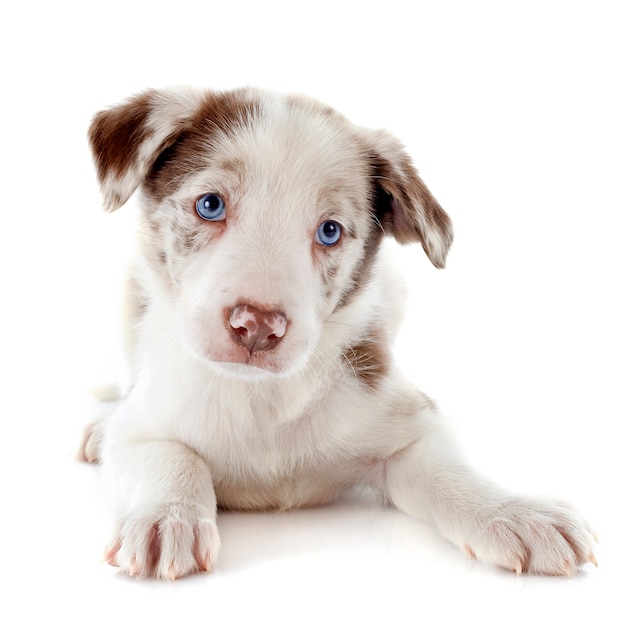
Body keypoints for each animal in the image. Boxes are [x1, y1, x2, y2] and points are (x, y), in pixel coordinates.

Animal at [78, 86, 596, 576]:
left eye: (329, 231)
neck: (263, 398)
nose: (257, 326)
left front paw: (513, 511)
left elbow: (449, 470)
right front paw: (166, 517)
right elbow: (170, 456)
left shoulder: (407, 421)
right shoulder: (143, 427)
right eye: (210, 205)